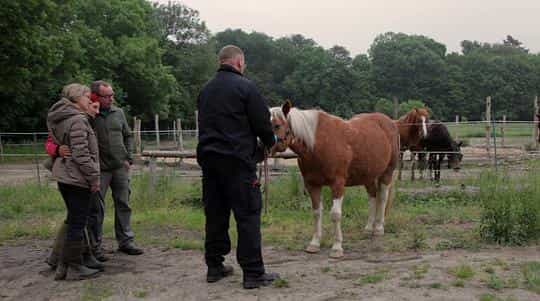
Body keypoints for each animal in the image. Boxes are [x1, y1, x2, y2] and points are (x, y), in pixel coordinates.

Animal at [272, 101, 398, 258]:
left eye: (277, 125)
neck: (317, 143)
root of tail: (389, 122)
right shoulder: (312, 185)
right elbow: (316, 213)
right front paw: (314, 244)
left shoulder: (337, 184)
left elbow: (335, 214)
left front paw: (337, 247)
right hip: (368, 177)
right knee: (372, 197)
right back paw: (369, 228)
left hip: (387, 172)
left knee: (382, 197)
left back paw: (379, 228)